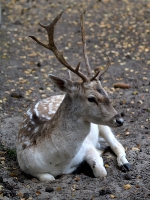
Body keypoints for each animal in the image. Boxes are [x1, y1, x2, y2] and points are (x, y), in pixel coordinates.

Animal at [16, 11, 130, 182]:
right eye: (91, 98)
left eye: (106, 92)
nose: (120, 120)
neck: (58, 161)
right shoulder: (27, 167)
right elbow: (49, 178)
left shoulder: (87, 147)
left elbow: (101, 172)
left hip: (104, 126)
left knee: (117, 145)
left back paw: (125, 164)